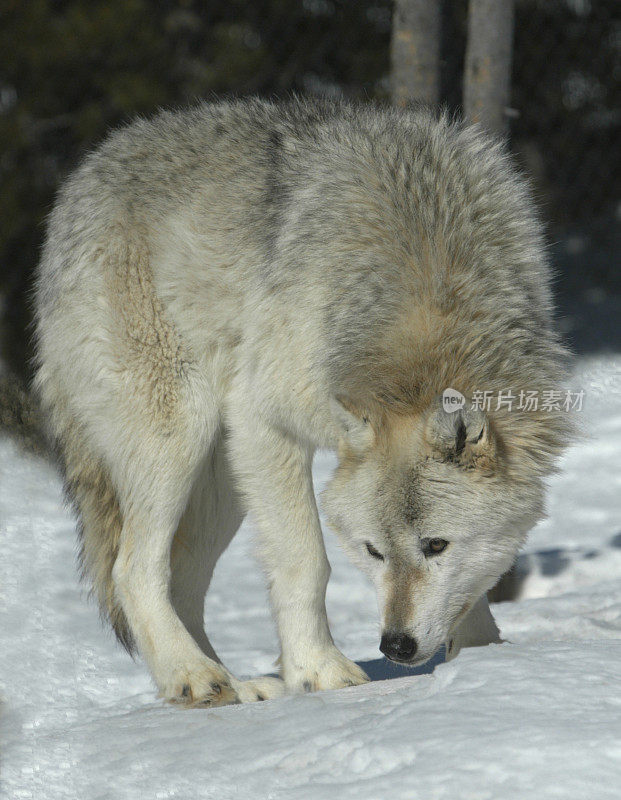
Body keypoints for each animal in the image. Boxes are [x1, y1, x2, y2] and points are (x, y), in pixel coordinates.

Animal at [31, 98, 568, 708]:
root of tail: (77, 185)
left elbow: (472, 583)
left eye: (435, 545)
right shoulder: (265, 422)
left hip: (222, 485)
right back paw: (192, 676)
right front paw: (320, 672)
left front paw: (482, 657)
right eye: (373, 552)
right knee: (132, 569)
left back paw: (239, 686)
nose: (396, 647)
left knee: (182, 581)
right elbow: (306, 562)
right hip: (181, 437)